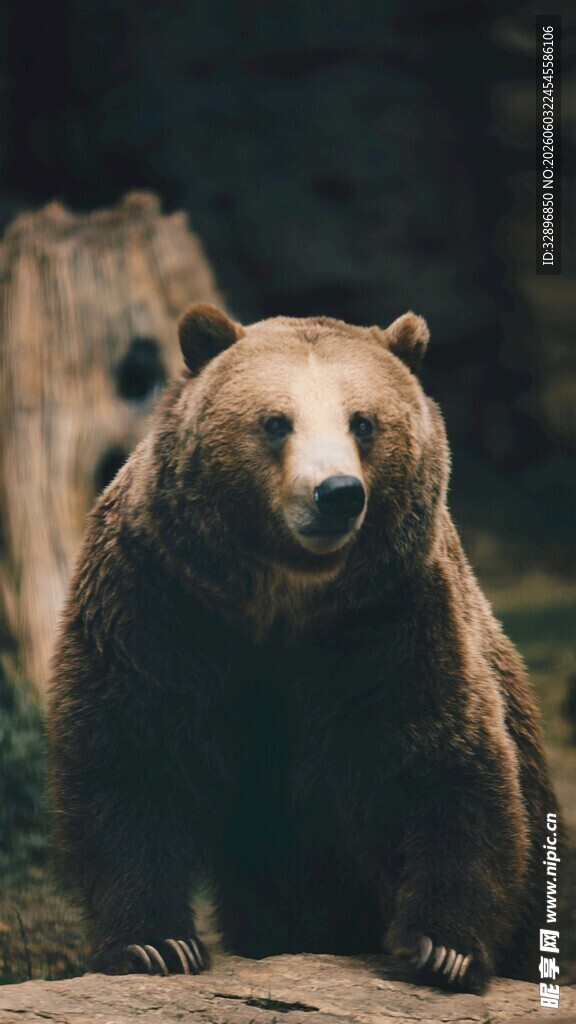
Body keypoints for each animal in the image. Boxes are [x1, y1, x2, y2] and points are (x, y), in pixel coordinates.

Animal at [48, 303, 560, 993]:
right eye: (275, 421)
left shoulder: (394, 619)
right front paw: (157, 944)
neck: (284, 601)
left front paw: (442, 948)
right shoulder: (158, 604)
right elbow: (131, 757)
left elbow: (445, 761)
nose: (337, 492)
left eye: (363, 421)